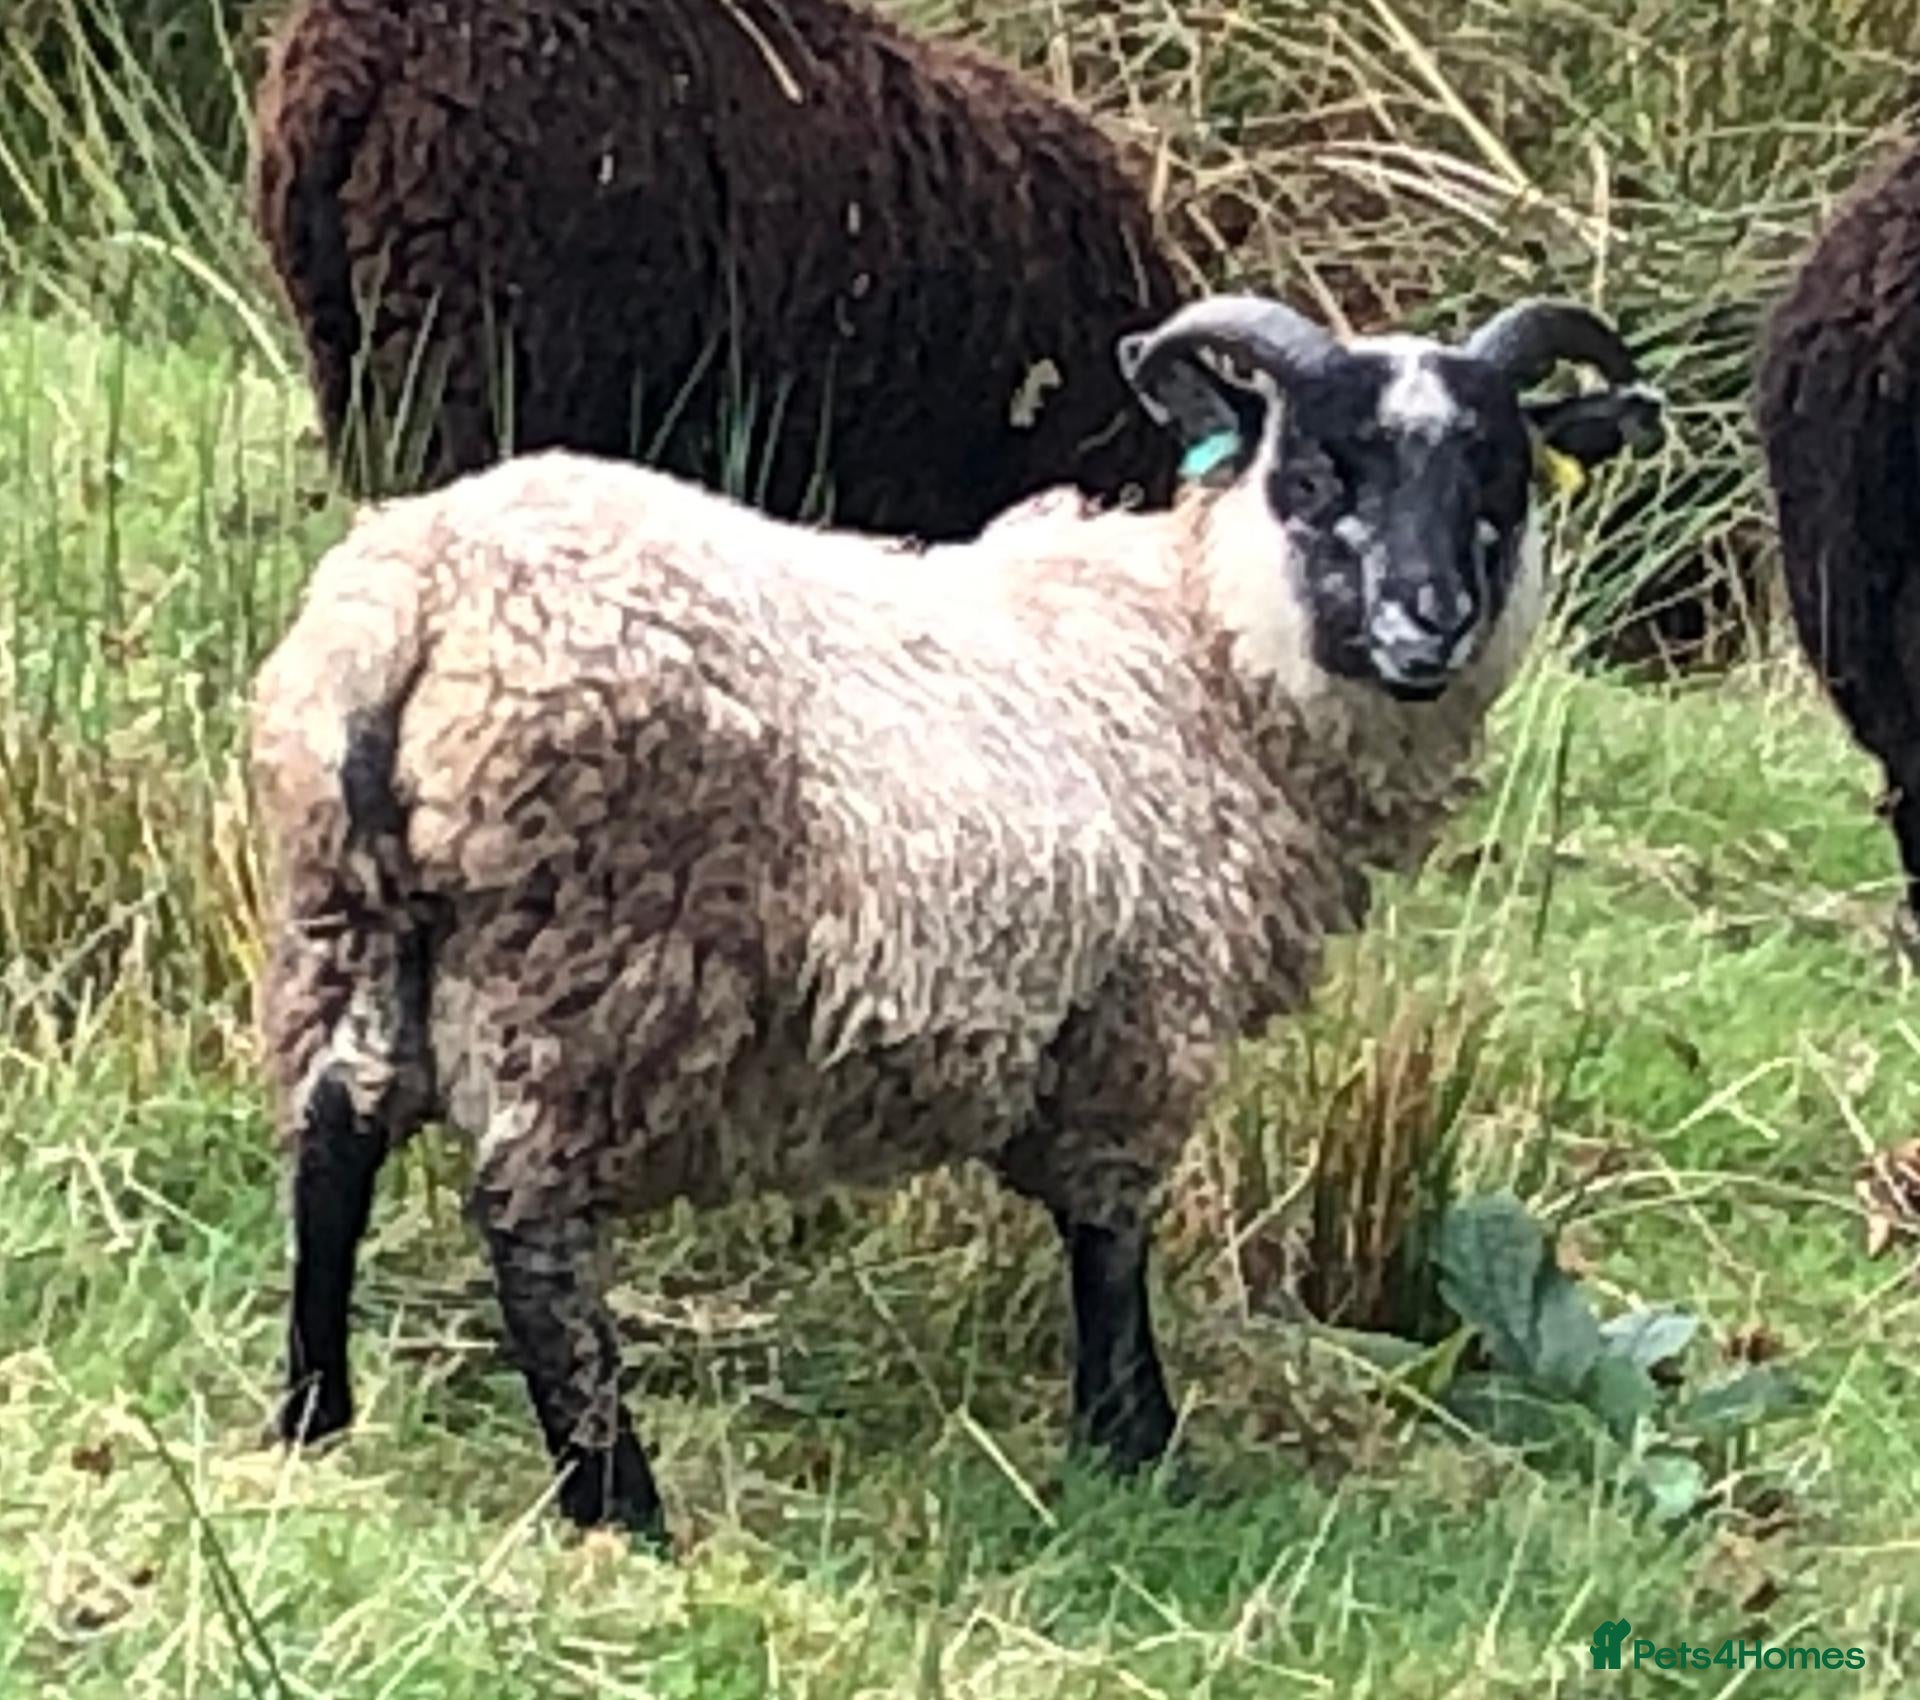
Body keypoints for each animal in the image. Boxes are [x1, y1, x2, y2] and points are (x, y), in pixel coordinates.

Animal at [250, 290, 1663, 1542]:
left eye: (1500, 472)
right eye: (1318, 469)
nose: (1432, 624)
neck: (1209, 655)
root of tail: (422, 596)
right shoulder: (1140, 1025)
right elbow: (1109, 1242)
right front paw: (1136, 1441)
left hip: (352, 918)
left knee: (335, 1131)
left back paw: (314, 1412)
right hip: (592, 953)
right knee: (529, 1223)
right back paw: (619, 1501)